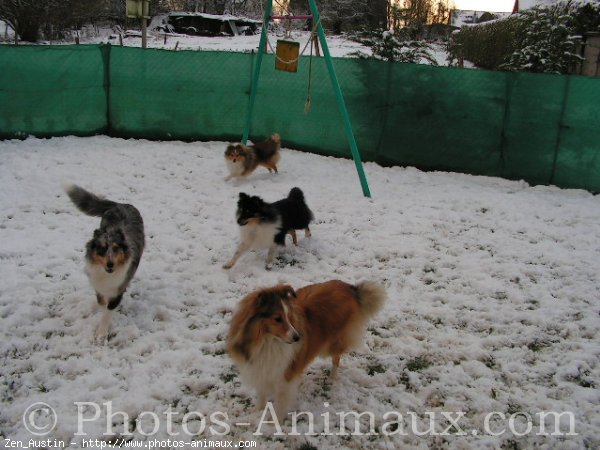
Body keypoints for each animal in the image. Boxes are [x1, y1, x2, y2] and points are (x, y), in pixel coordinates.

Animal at [64, 183, 145, 342]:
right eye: (102, 249)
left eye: (116, 248)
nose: (110, 264)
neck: (106, 274)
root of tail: (120, 204)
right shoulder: (98, 285)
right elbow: (101, 302)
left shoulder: (118, 289)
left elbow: (108, 311)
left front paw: (101, 333)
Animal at [227, 280, 386, 420]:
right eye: (277, 318)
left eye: (289, 317)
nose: (298, 337)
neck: (267, 341)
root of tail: (350, 287)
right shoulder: (260, 369)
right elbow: (261, 395)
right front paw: (257, 412)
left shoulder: (285, 376)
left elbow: (280, 402)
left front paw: (274, 423)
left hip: (334, 342)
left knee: (336, 359)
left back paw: (332, 377)